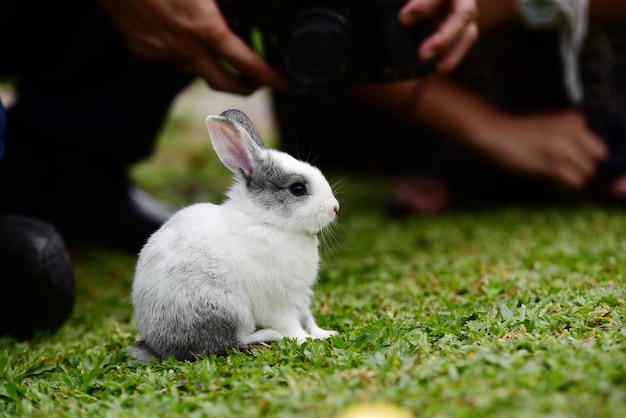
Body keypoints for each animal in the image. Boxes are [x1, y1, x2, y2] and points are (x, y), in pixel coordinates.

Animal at [127, 108, 338, 362]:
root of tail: (156, 348)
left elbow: (308, 319)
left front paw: (326, 333)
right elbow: (291, 326)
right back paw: (266, 335)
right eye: (298, 189)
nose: (335, 207)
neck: (267, 221)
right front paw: (307, 340)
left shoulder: (299, 296)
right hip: (227, 308)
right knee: (226, 342)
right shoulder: (277, 302)